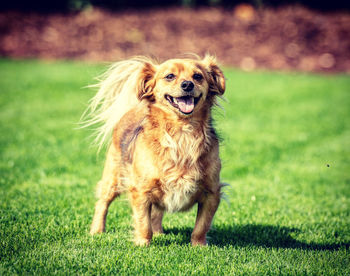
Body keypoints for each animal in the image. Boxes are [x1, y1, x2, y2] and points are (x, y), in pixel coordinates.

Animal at [85, 54, 227, 246]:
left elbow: (201, 226)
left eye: (198, 76)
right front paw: (143, 244)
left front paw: (199, 246)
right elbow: (143, 223)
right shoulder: (141, 191)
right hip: (113, 178)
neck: (182, 133)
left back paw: (159, 233)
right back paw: (97, 231)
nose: (187, 84)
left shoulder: (211, 192)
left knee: (157, 212)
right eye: (170, 76)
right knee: (102, 203)